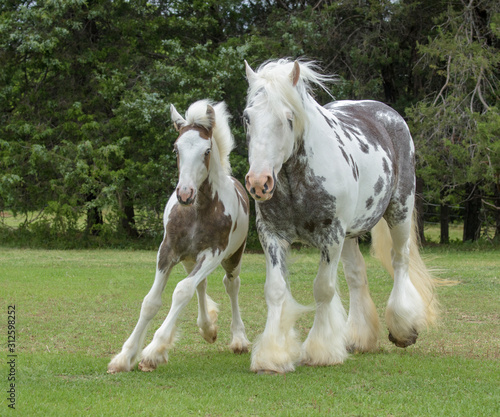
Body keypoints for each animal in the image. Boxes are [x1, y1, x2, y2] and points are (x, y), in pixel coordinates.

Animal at [108, 99, 250, 372]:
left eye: (206, 150)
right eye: (176, 149)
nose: (185, 194)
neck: (198, 210)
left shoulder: (214, 253)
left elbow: (181, 291)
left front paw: (153, 351)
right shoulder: (168, 251)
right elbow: (151, 301)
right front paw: (125, 356)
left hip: (233, 256)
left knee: (231, 285)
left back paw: (238, 338)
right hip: (189, 259)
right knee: (201, 285)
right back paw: (207, 328)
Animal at [242, 57, 438, 372]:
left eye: (288, 117)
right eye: (247, 118)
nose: (259, 183)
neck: (296, 178)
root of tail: (387, 114)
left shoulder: (330, 235)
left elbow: (323, 289)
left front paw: (320, 351)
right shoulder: (272, 234)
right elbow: (275, 289)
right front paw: (272, 355)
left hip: (399, 211)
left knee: (400, 261)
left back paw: (403, 328)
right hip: (349, 235)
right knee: (357, 275)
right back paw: (359, 337)